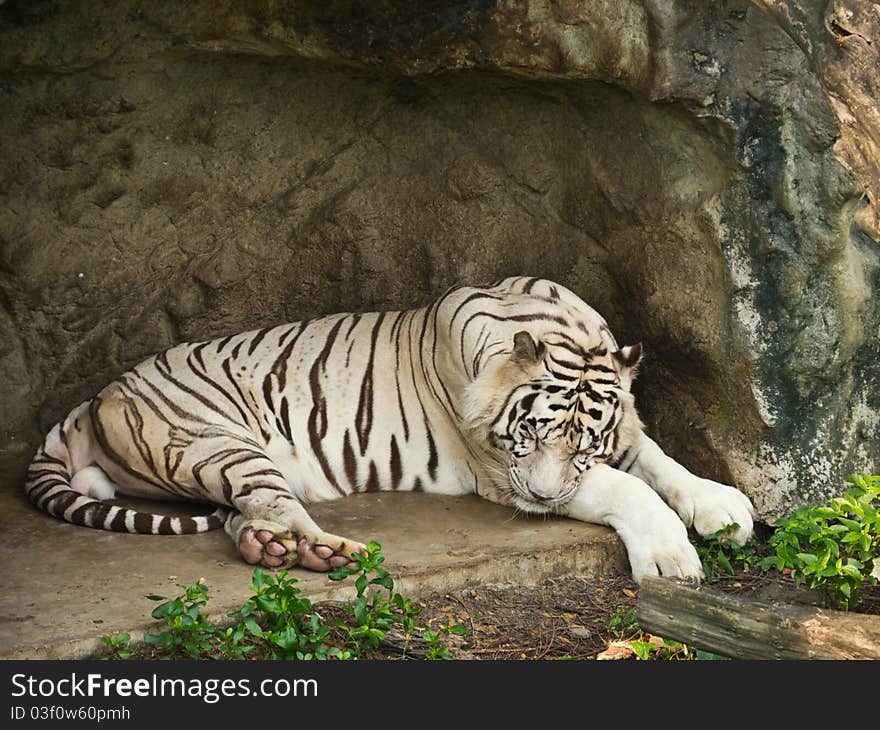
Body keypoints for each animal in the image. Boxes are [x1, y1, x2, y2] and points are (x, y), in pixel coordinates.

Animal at [27, 276, 756, 584]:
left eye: (585, 443)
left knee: (247, 520)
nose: (546, 498)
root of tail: (96, 395)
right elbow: (627, 488)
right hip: (220, 443)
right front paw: (671, 558)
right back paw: (336, 554)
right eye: (530, 434)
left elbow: (654, 458)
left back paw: (278, 552)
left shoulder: (614, 436)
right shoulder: (504, 475)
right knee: (276, 510)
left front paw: (723, 508)